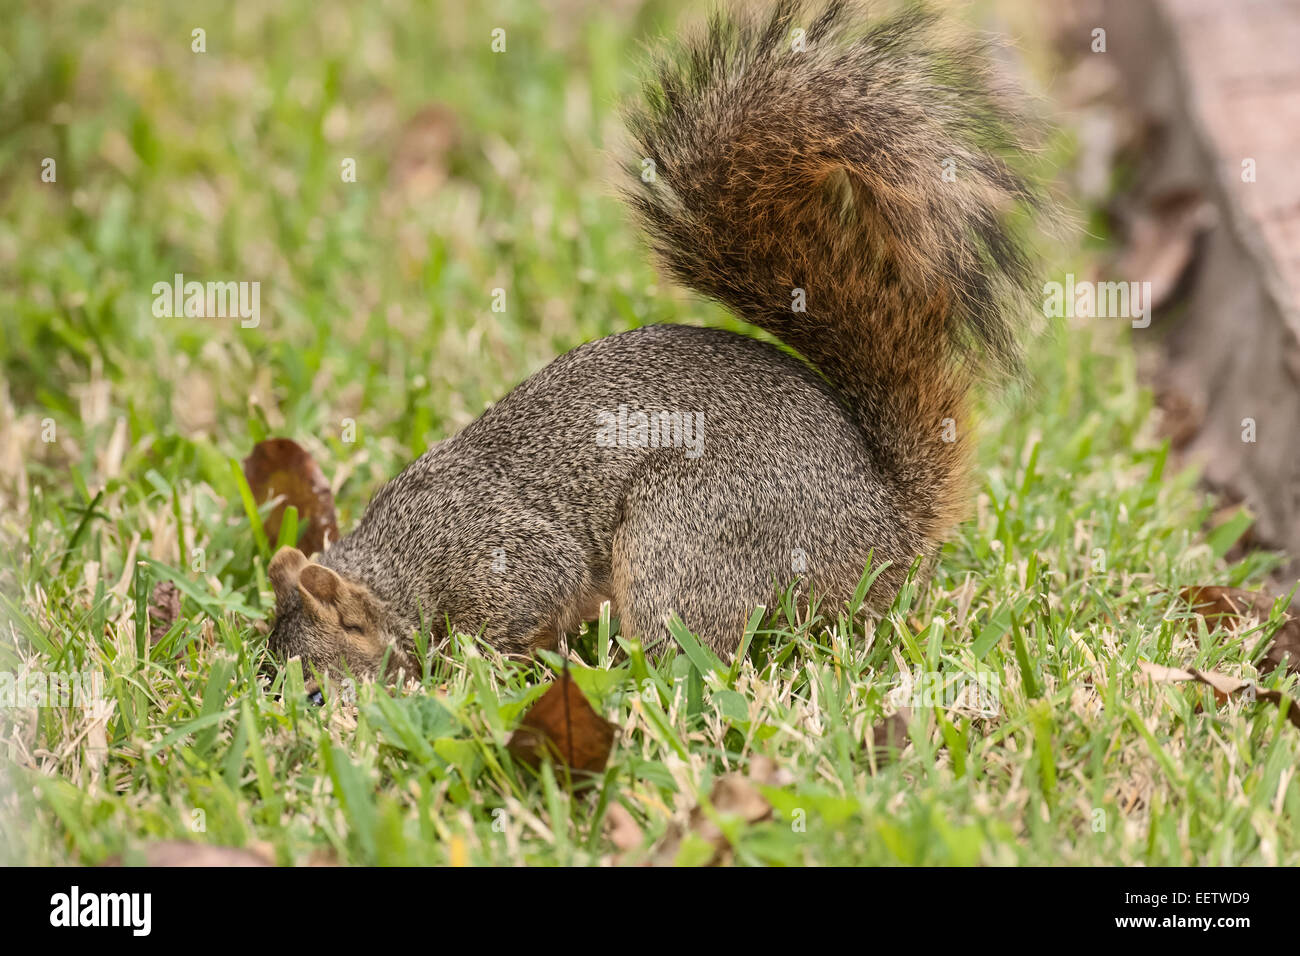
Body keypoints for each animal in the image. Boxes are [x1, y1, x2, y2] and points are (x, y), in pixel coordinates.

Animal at [266, 0, 1037, 686]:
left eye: (314, 688)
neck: (406, 567)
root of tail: (889, 530)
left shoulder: (505, 559)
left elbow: (529, 608)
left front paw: (479, 672)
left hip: (684, 531)